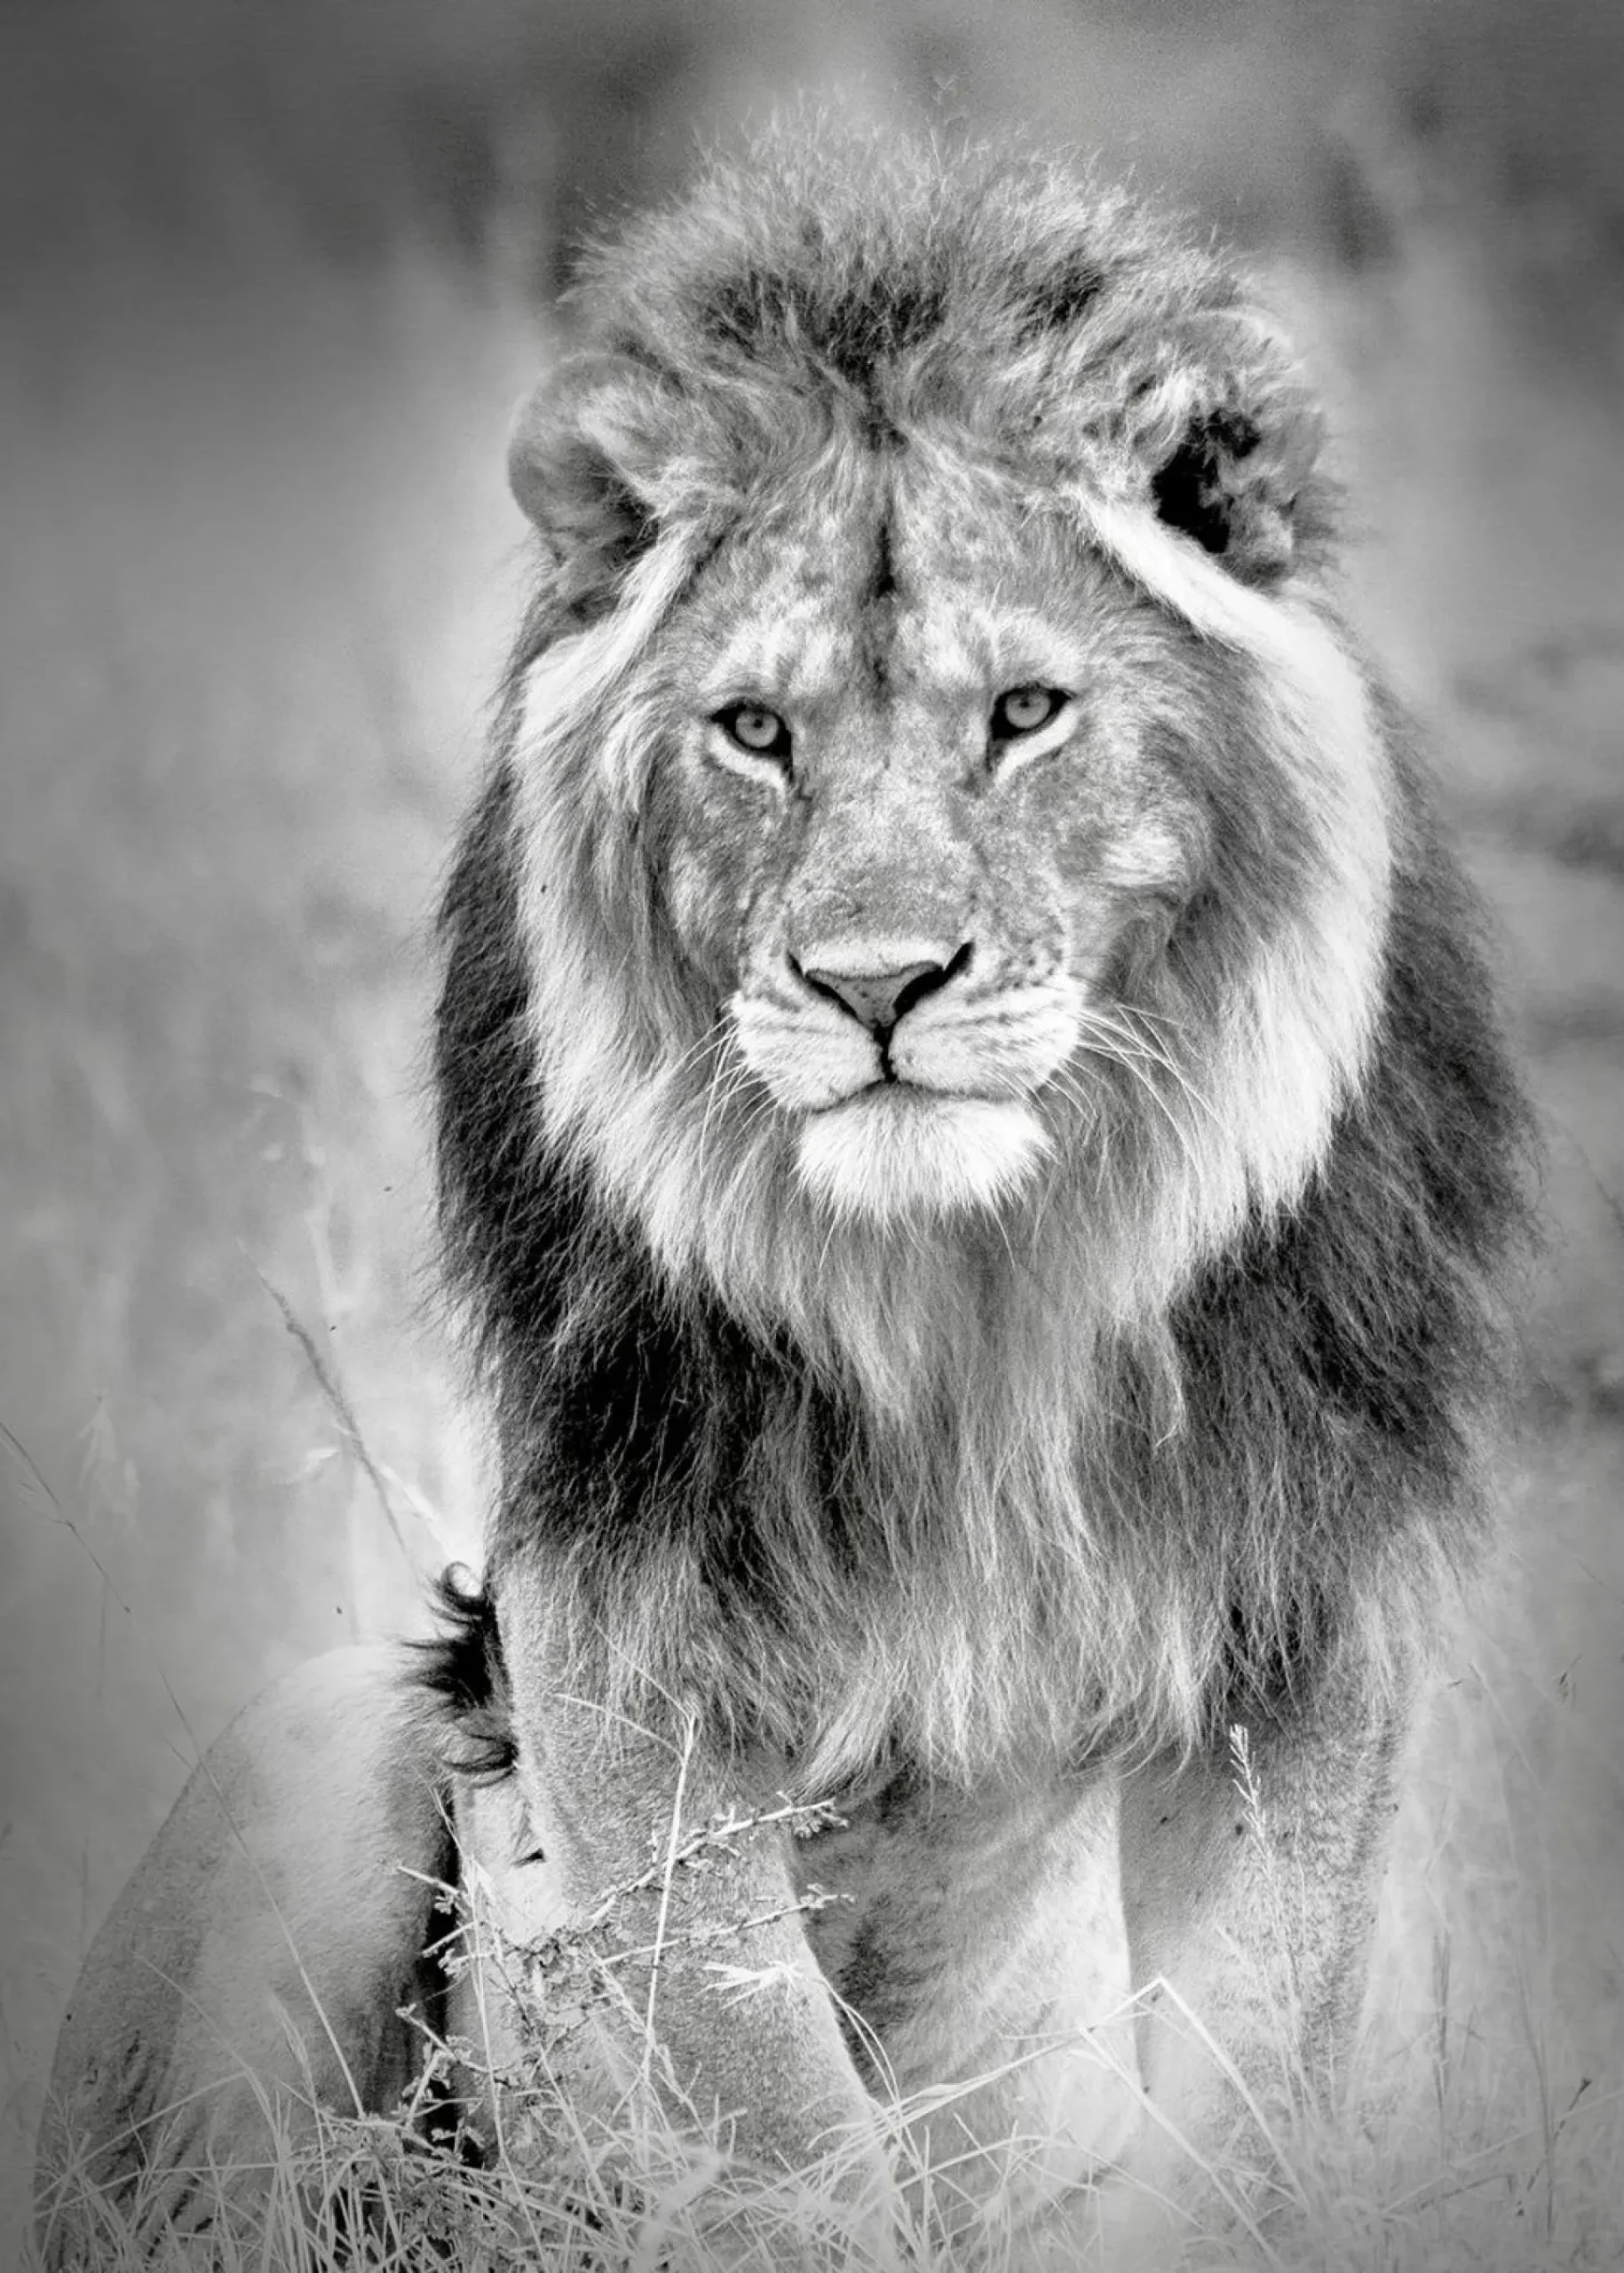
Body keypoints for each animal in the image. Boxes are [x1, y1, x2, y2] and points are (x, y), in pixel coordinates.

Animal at [38, 126, 1528, 2263]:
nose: (874, 984)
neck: (981, 1276)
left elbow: (1245, 2080)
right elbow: (769, 2109)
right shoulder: (619, 1613)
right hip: (314, 1741)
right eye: (754, 731)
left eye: (1023, 714)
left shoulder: (1312, 1606)